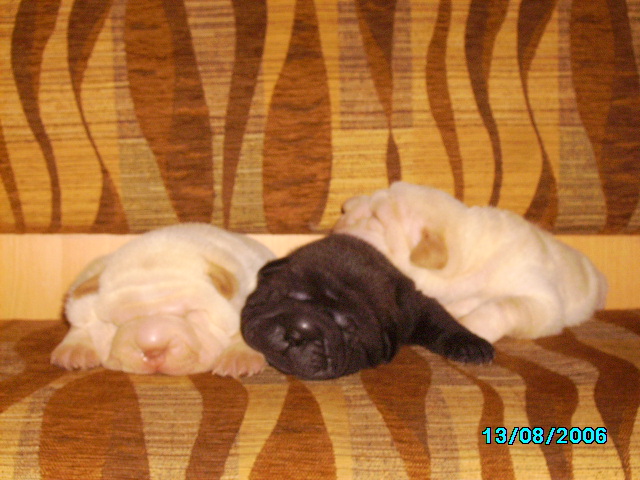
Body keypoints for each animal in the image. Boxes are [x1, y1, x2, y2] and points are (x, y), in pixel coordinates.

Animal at [51, 223, 275, 377]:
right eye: (117, 323)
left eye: (189, 314)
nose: (153, 351)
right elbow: (80, 323)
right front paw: (74, 350)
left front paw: (239, 357)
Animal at [240, 234, 494, 380]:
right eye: (290, 295)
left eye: (347, 330)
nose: (298, 332)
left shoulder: (412, 306)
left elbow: (440, 319)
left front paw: (471, 345)